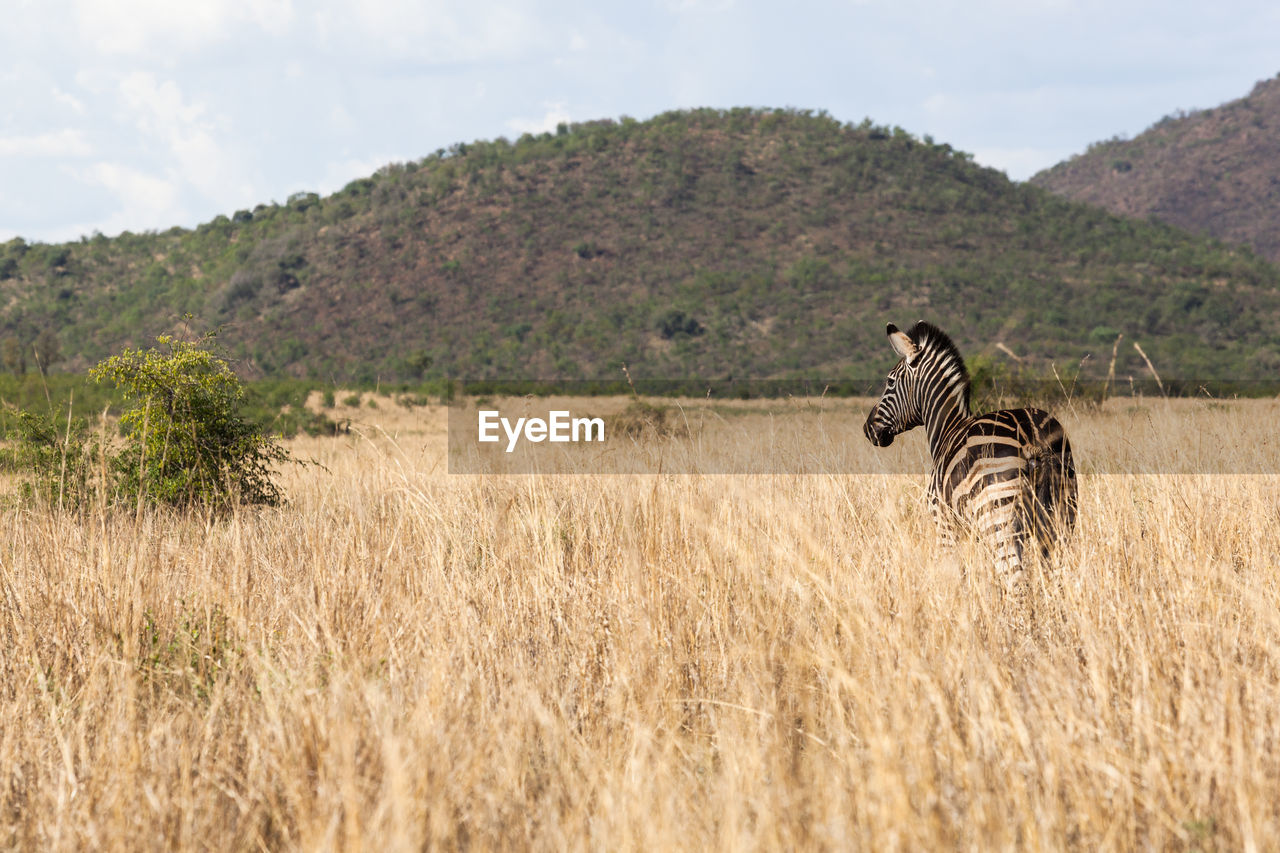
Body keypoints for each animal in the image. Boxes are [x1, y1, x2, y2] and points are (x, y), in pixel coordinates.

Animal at [865, 320, 1075, 591]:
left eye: (890, 382)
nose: (868, 429)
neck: (948, 427)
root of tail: (1032, 434)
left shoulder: (945, 525)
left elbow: (956, 578)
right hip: (1060, 518)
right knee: (1059, 579)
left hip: (998, 520)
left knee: (1017, 583)